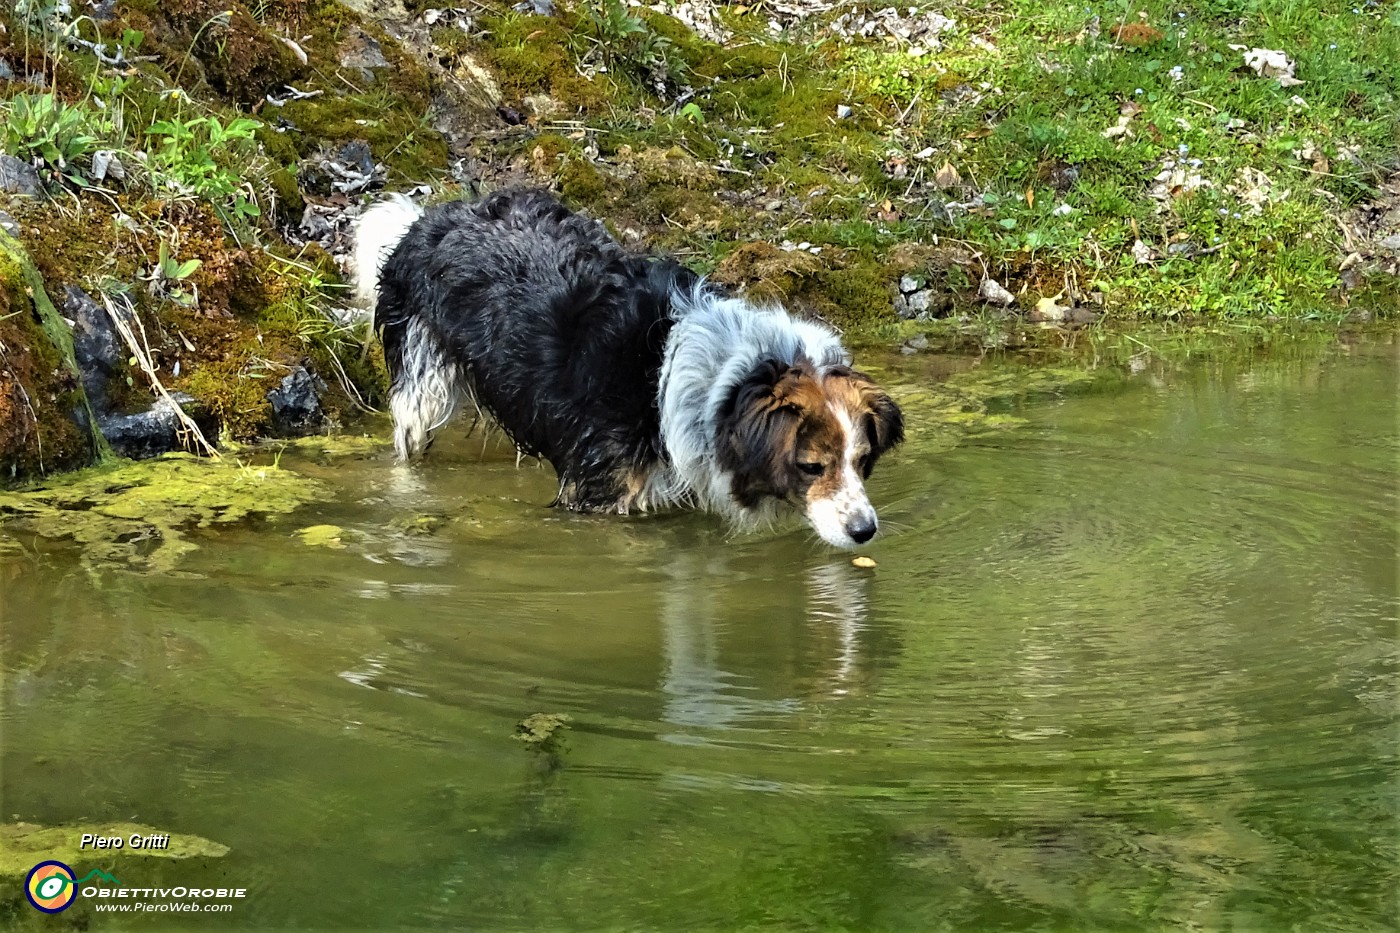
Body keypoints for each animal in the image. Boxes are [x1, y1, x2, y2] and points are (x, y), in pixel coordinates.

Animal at [348, 187, 896, 546]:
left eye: (863, 460)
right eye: (812, 466)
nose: (865, 532)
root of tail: (424, 221)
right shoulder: (601, 494)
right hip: (422, 385)